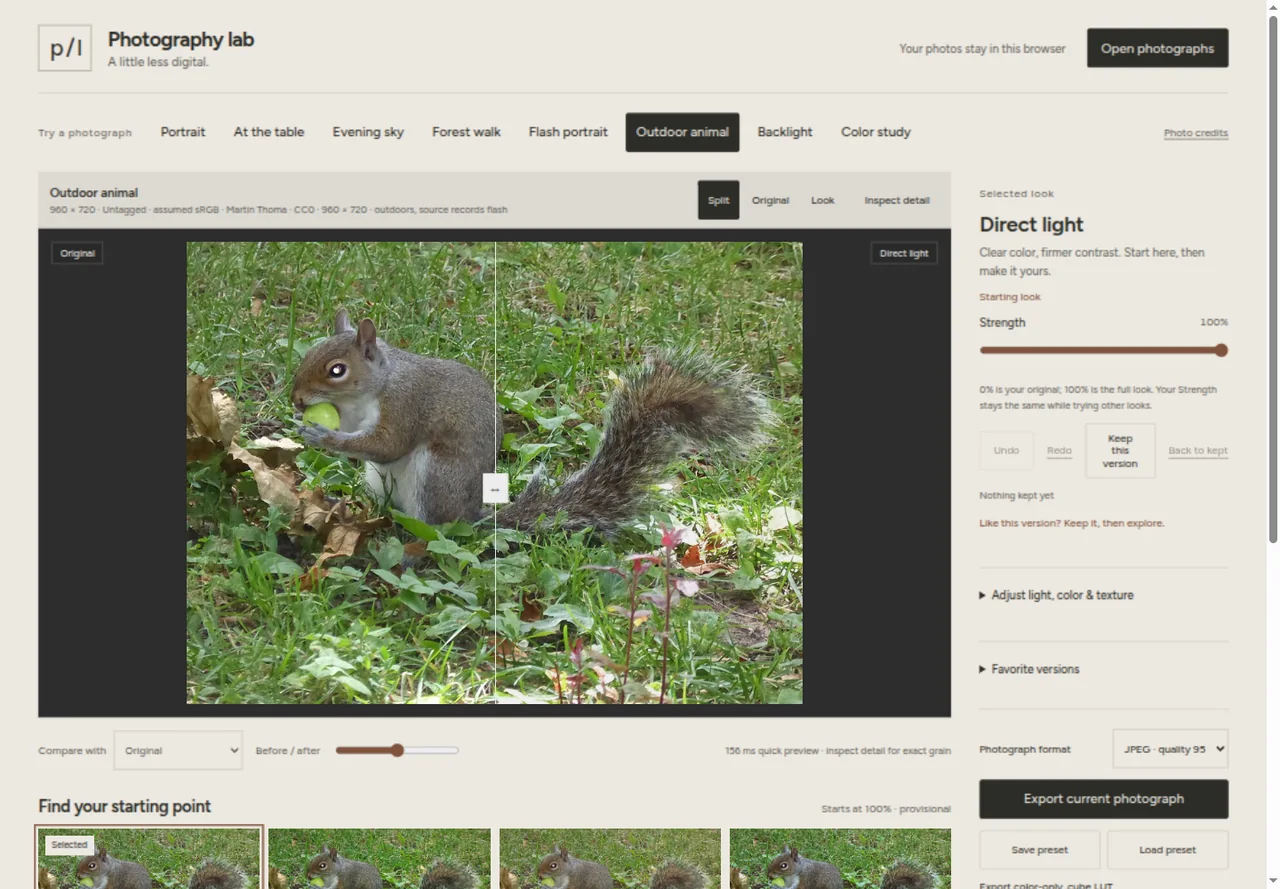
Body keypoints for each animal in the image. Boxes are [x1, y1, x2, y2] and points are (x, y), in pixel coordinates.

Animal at [292, 310, 774, 534]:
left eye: (337, 370)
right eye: (308, 352)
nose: (296, 401)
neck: (368, 393)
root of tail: (474, 515)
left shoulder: (406, 406)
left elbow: (387, 443)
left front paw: (323, 436)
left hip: (438, 476)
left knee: (435, 529)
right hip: (382, 484)